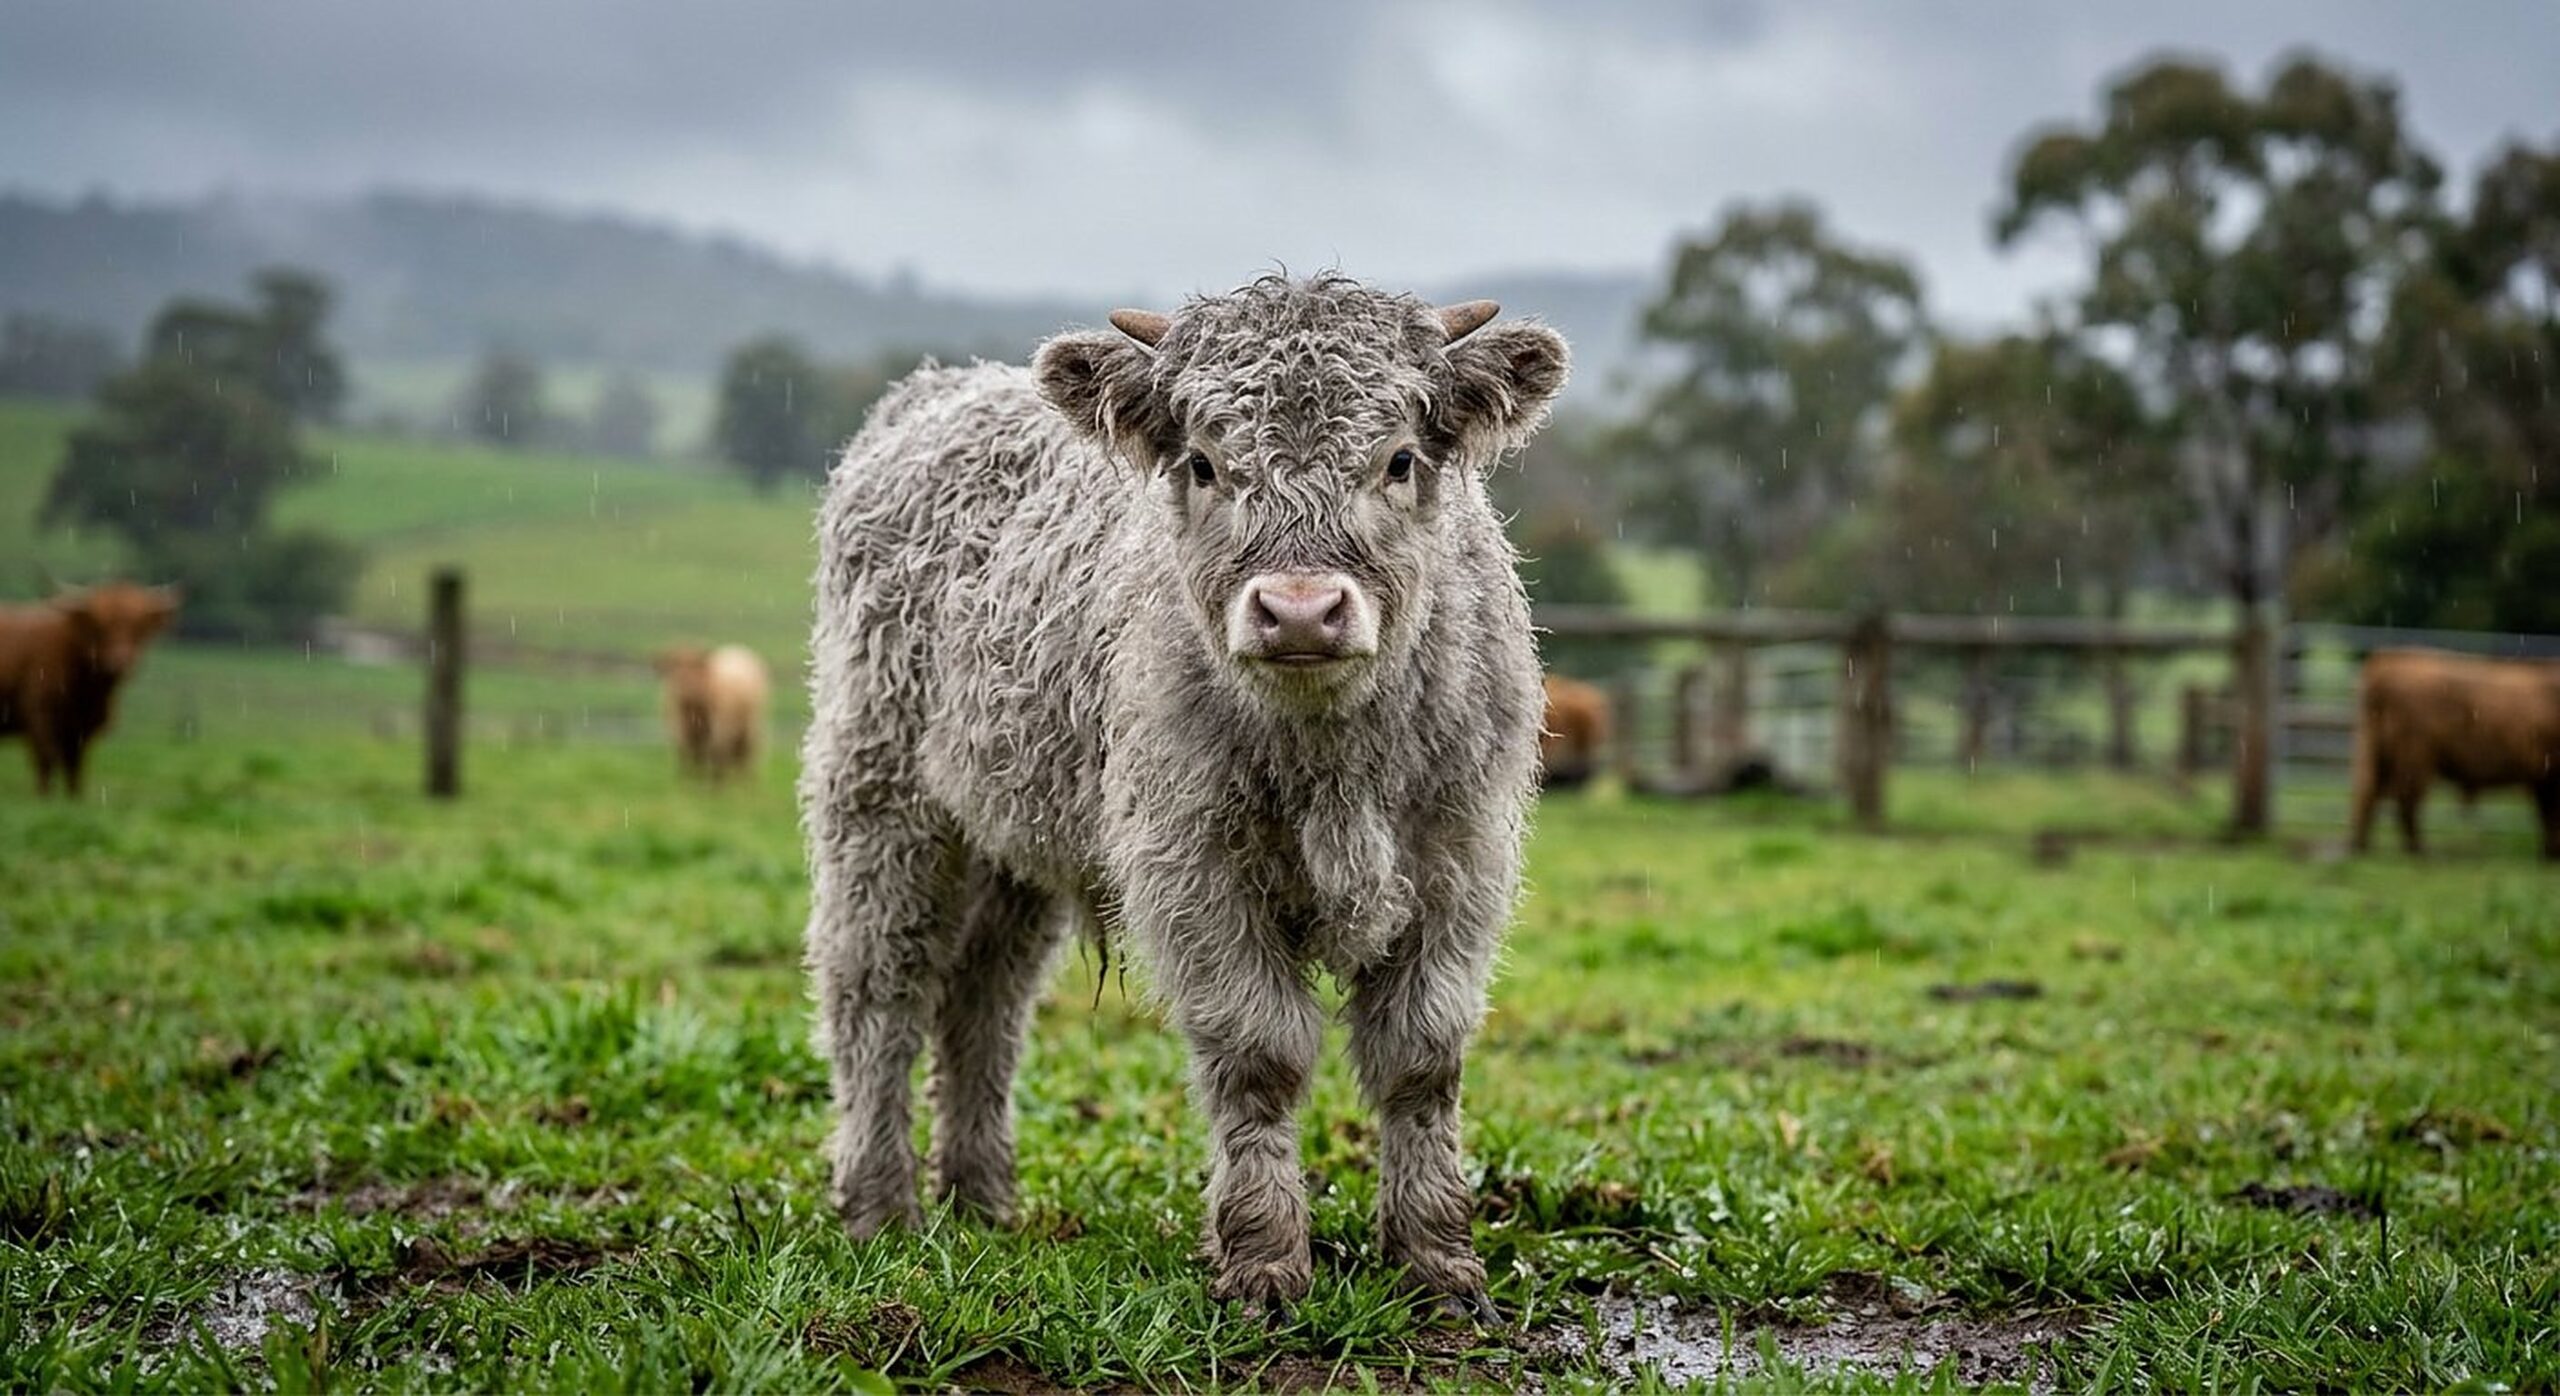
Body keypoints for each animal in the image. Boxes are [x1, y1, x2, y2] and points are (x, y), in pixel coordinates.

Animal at [0, 582, 180, 796]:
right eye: (100, 626)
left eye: (137, 626)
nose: (119, 661)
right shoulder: (39, 717)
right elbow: (47, 760)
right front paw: (44, 798)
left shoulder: (82, 728)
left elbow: (75, 767)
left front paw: (73, 799)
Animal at [653, 644, 770, 782]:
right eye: (670, 668)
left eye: (695, 668)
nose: (684, 685)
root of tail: (737, 648)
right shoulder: (682, 733)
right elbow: (690, 760)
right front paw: (689, 783)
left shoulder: (720, 732)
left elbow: (715, 760)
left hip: (750, 728)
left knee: (746, 757)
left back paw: (745, 784)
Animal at [800, 274, 1568, 1318]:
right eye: (1204, 463)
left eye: (1401, 458)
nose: (1299, 611)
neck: (1334, 768)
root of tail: (935, 391)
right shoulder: (1194, 870)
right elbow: (1259, 1056)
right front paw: (1266, 1262)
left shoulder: (1460, 865)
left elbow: (1420, 1062)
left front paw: (1436, 1264)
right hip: (882, 800)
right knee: (879, 989)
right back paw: (882, 1205)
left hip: (1015, 839)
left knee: (983, 1000)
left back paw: (983, 1202)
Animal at [2349, 648, 2560, 861]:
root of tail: (2388, 659)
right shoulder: (2548, 776)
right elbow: (2551, 816)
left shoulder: (2544, 779)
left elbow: (2548, 816)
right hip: (2413, 759)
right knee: (2404, 801)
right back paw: (2420, 852)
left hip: (2377, 755)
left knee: (2368, 796)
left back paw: (2362, 848)